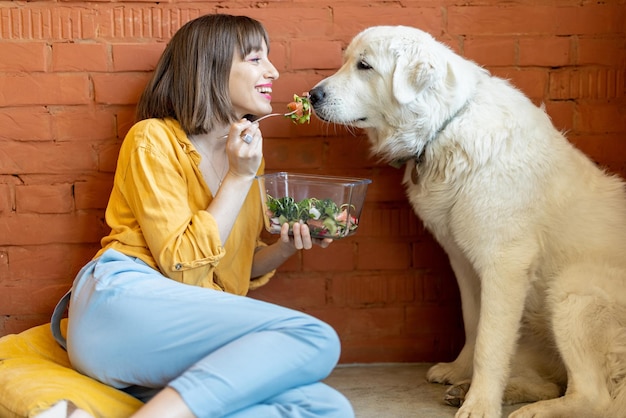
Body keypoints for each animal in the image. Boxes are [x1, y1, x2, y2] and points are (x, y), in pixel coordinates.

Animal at [310, 26, 624, 418]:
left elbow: (490, 342)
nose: (312, 96)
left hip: (572, 291)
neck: (444, 128)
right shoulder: (464, 261)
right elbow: (473, 324)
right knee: (555, 383)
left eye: (364, 66)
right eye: (346, 62)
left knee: (593, 397)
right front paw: (461, 372)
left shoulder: (505, 264)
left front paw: (480, 404)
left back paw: (533, 410)